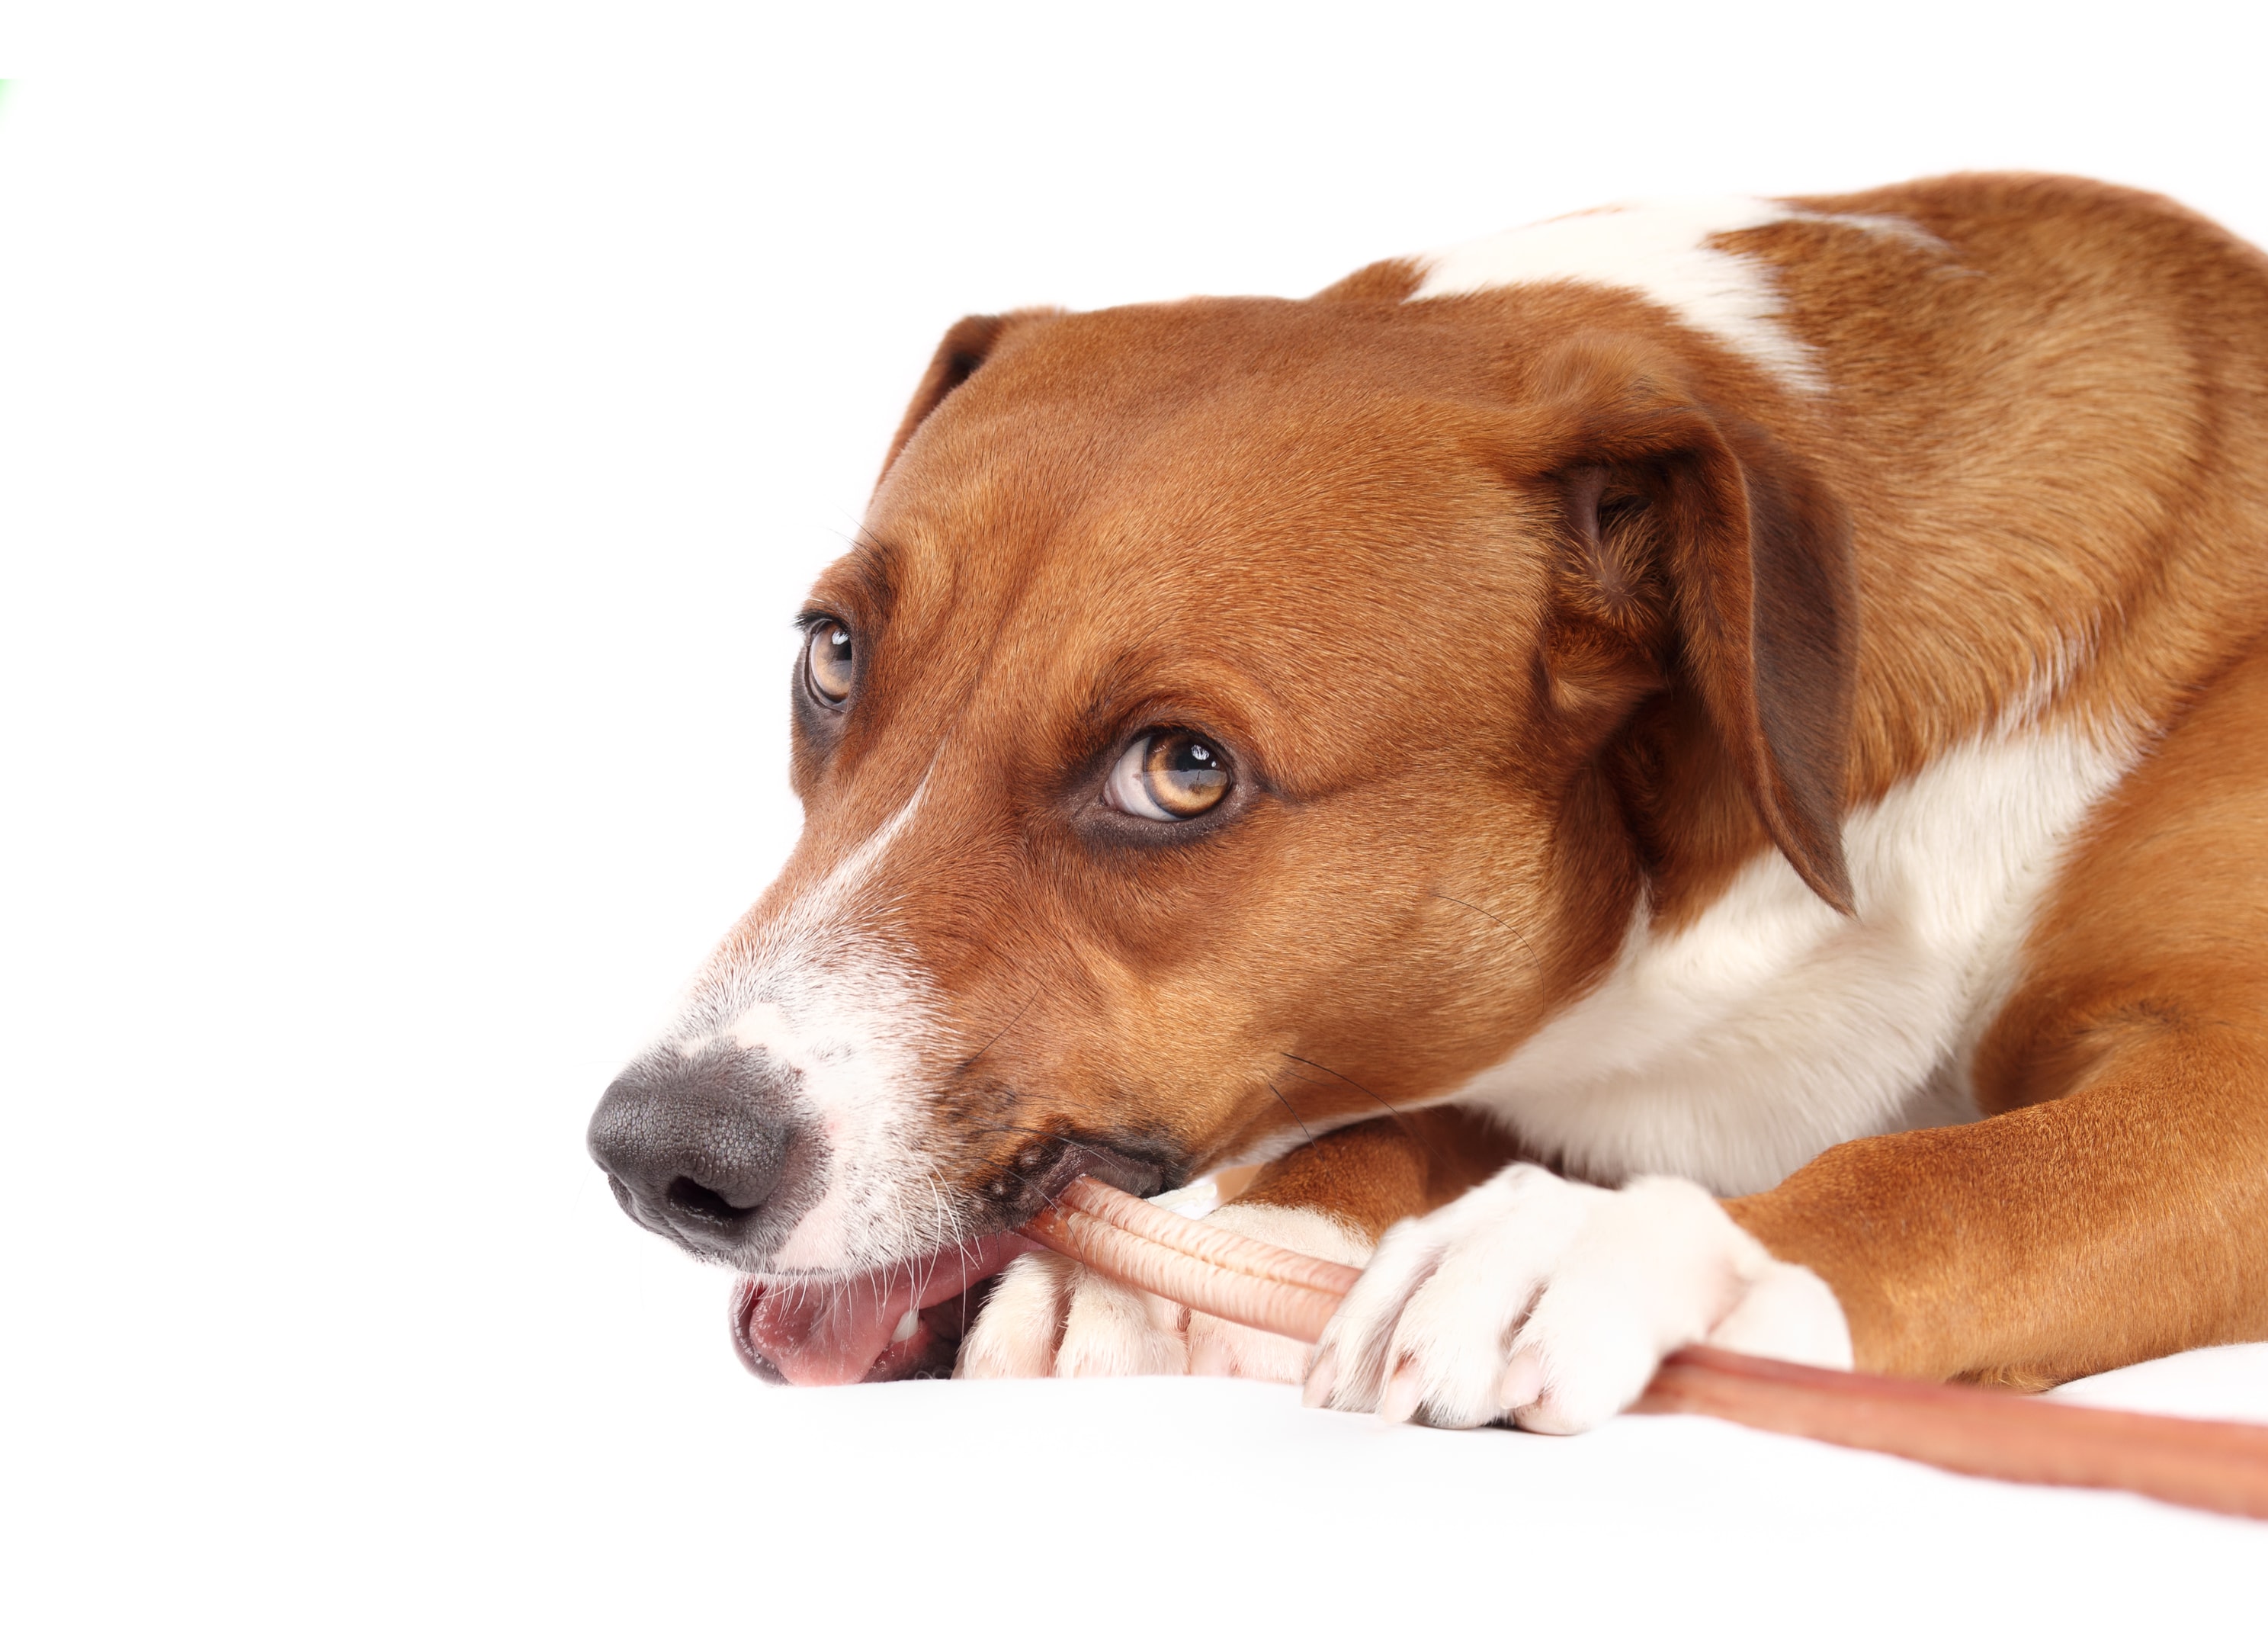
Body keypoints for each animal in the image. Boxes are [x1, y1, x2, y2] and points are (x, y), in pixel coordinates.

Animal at [589, 177, 2268, 1434]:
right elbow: (1393, 1121)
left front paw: (1655, 1252)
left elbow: (1954, 1176)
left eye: (1181, 768)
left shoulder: (2222, 1079)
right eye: (832, 655)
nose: (660, 1157)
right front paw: (1204, 1259)